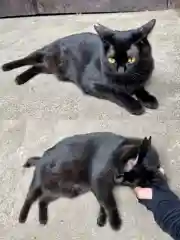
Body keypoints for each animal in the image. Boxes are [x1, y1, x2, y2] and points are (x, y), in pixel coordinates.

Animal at [2, 19, 158, 115]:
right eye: (112, 60)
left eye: (131, 59)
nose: (120, 70)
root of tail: (59, 40)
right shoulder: (91, 83)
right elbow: (116, 92)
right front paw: (134, 104)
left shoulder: (140, 78)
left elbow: (139, 87)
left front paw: (148, 99)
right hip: (47, 56)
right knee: (30, 58)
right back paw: (9, 68)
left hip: (51, 67)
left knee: (37, 67)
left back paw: (21, 77)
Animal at [19, 131, 165, 231]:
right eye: (125, 167)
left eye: (130, 181)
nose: (117, 178)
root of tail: (41, 158)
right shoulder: (99, 181)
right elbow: (110, 203)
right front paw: (115, 222)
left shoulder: (101, 186)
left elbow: (103, 202)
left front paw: (102, 219)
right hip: (40, 184)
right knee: (30, 198)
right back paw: (22, 217)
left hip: (60, 192)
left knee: (42, 200)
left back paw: (42, 219)